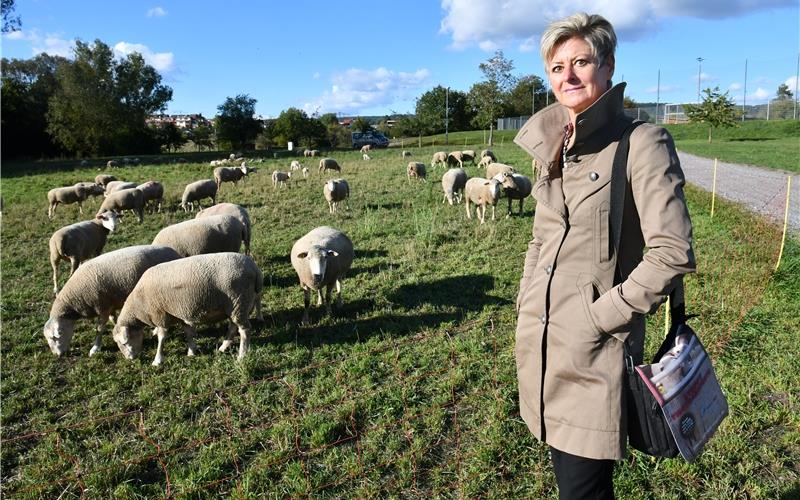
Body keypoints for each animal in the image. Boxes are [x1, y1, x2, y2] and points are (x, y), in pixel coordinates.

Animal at [44, 245, 183, 356]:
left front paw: (95, 348)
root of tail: (173, 251)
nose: (58, 355)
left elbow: (99, 329)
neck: (75, 298)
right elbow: (113, 320)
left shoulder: (103, 307)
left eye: (55, 338)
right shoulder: (110, 305)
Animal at [112, 252, 264, 366]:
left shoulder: (160, 315)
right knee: (233, 327)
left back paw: (242, 356)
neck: (138, 306)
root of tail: (254, 268)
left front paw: (157, 360)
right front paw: (192, 351)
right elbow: (188, 332)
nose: (130, 359)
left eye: (124, 343)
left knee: (244, 331)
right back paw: (223, 347)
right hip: (235, 306)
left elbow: (162, 338)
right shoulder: (181, 313)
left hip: (239, 302)